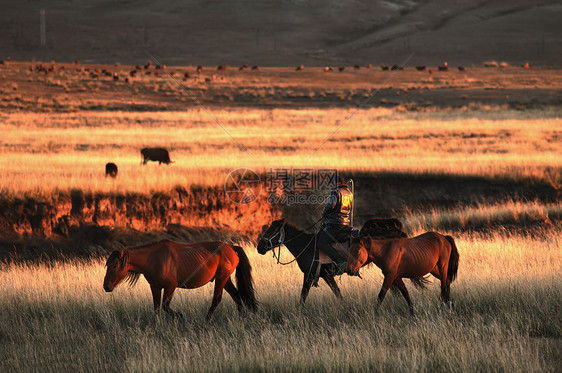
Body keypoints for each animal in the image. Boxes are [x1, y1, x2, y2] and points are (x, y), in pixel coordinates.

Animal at [103, 240, 256, 318]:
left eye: (115, 266)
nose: (106, 286)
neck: (153, 259)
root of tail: (231, 247)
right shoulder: (155, 287)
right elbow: (157, 308)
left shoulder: (171, 286)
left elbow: (165, 306)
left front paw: (180, 316)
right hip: (225, 279)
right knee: (237, 296)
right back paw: (241, 318)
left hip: (221, 279)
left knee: (217, 299)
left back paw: (207, 321)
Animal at [256, 218, 404, 302]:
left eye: (271, 231)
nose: (259, 247)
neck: (306, 246)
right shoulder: (325, 276)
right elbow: (337, 293)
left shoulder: (311, 275)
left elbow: (303, 296)